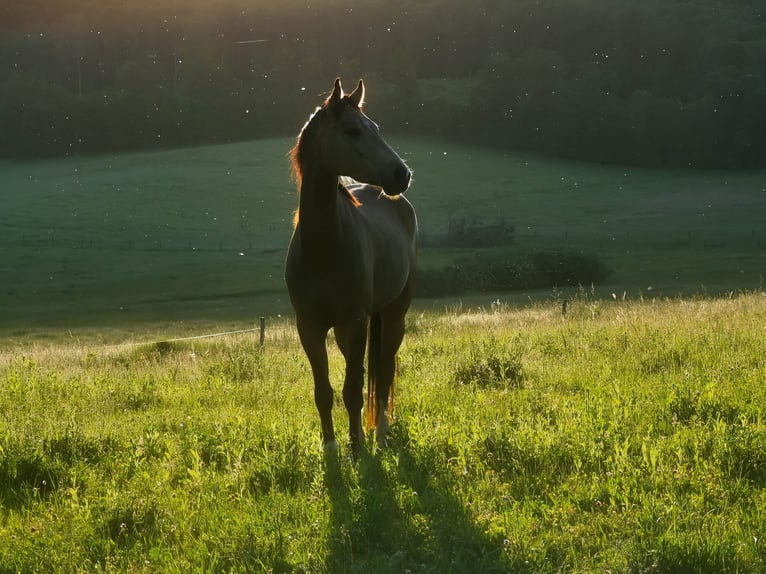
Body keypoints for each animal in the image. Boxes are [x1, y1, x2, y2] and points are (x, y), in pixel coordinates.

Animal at [285, 78, 417, 453]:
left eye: (375, 128)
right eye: (353, 130)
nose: (401, 174)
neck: (323, 248)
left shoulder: (354, 323)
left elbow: (353, 391)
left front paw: (358, 449)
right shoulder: (309, 327)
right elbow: (324, 392)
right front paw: (331, 449)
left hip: (393, 315)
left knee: (384, 370)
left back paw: (382, 434)